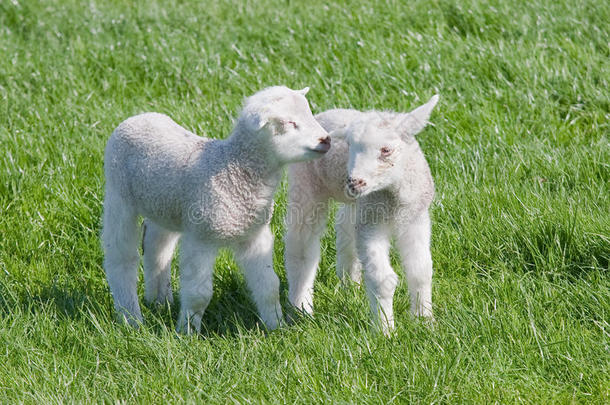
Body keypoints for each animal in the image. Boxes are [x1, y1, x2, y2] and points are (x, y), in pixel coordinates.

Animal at [101, 84, 328, 332]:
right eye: (288, 123)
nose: (326, 139)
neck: (234, 169)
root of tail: (138, 117)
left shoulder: (253, 234)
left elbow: (269, 286)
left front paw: (276, 327)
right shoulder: (201, 237)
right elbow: (198, 295)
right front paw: (187, 332)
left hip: (165, 205)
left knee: (156, 248)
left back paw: (159, 301)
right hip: (118, 195)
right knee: (121, 256)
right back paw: (131, 318)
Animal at [284, 95, 436, 334]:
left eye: (386, 150)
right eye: (350, 146)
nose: (354, 182)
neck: (393, 198)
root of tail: (323, 114)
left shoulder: (416, 217)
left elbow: (420, 271)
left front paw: (424, 322)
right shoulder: (372, 223)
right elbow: (383, 279)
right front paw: (385, 331)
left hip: (357, 205)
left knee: (345, 228)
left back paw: (349, 285)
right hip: (305, 183)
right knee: (301, 246)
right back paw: (301, 310)